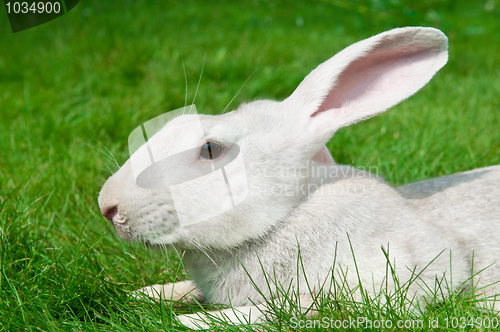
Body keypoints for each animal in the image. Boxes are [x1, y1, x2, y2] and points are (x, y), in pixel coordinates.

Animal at [98, 27, 500, 328]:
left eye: (211, 149)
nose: (107, 206)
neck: (286, 216)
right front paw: (147, 294)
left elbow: (294, 308)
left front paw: (190, 321)